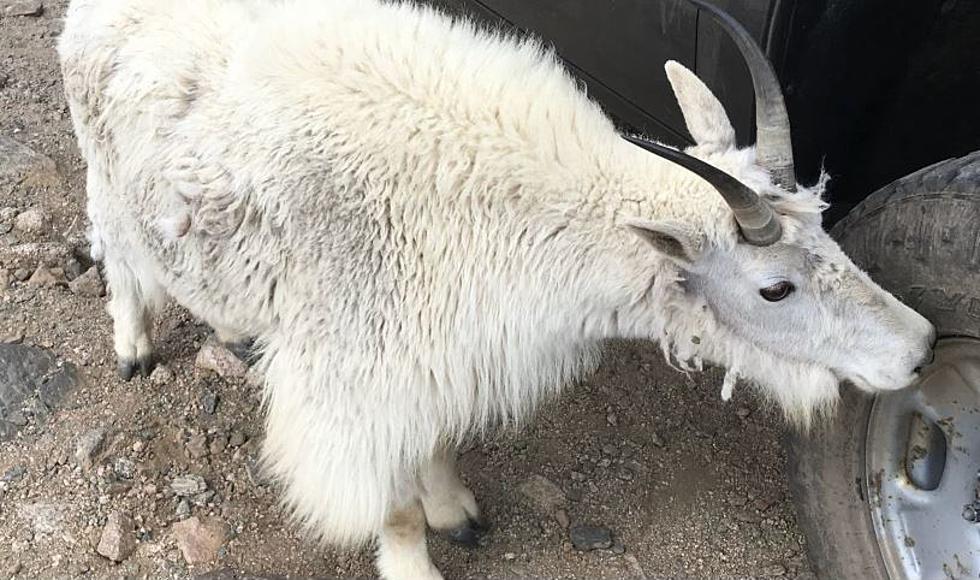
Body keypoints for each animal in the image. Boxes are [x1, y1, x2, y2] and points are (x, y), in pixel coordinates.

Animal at [59, 0, 936, 576]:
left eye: (826, 227)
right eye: (775, 289)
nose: (921, 348)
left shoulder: (440, 352)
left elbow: (439, 445)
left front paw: (457, 512)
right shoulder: (358, 383)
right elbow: (391, 504)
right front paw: (418, 558)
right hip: (108, 174)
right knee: (119, 254)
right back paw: (133, 345)